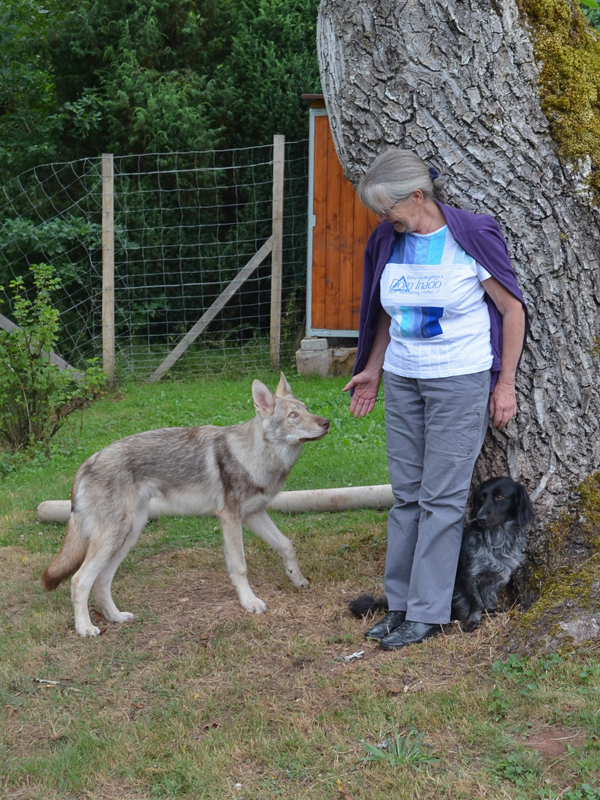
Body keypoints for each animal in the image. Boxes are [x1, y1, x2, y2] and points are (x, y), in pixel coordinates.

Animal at [43, 376, 328, 636]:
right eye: (293, 415)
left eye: (306, 408)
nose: (326, 422)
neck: (256, 456)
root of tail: (84, 465)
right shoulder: (230, 518)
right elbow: (240, 567)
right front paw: (250, 603)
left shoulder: (254, 514)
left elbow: (287, 545)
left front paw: (298, 579)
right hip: (114, 537)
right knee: (79, 580)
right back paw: (85, 628)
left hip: (128, 535)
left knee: (101, 581)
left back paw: (116, 617)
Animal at [346, 478, 536, 636]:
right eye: (482, 498)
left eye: (500, 496)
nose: (480, 518)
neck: (497, 539)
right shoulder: (468, 576)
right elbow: (477, 601)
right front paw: (473, 621)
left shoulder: (498, 576)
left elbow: (488, 599)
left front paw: (492, 611)